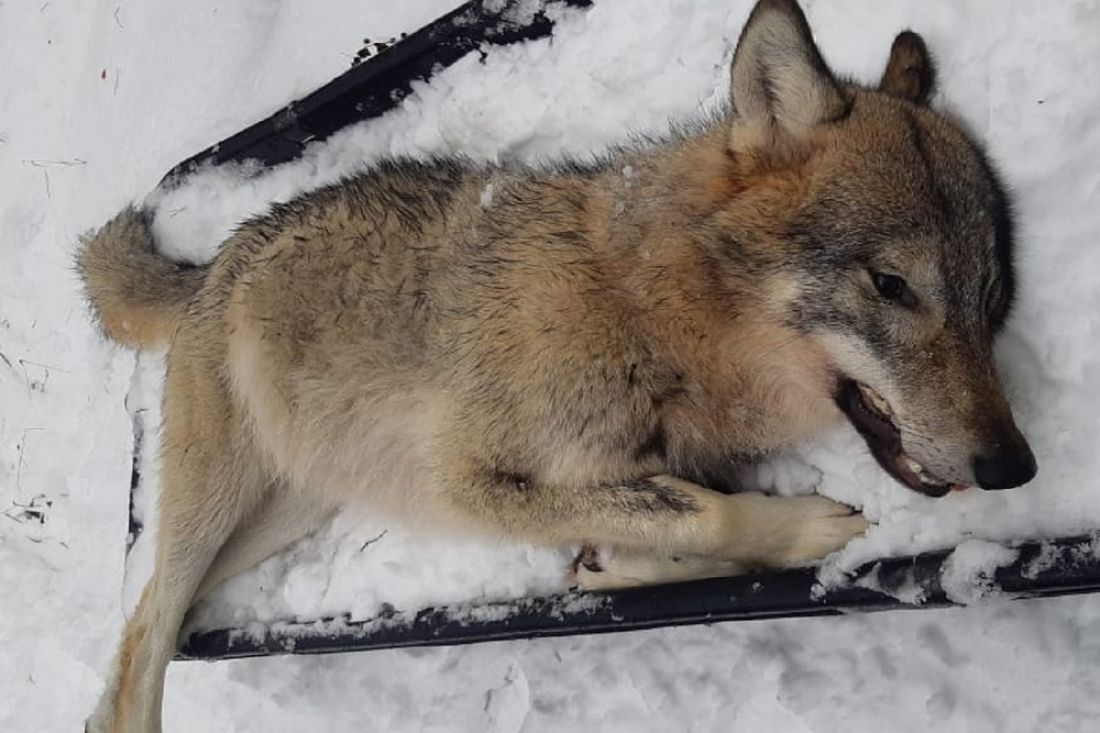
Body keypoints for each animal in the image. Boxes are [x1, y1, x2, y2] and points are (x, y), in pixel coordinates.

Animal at [81, 2, 1034, 726]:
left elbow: (675, 524)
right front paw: (806, 530)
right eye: (893, 284)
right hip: (219, 501)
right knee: (143, 634)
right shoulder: (469, 481)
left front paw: (616, 565)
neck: (656, 320)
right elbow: (711, 514)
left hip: (288, 507)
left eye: (991, 297)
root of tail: (213, 262)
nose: (1015, 466)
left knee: (161, 613)